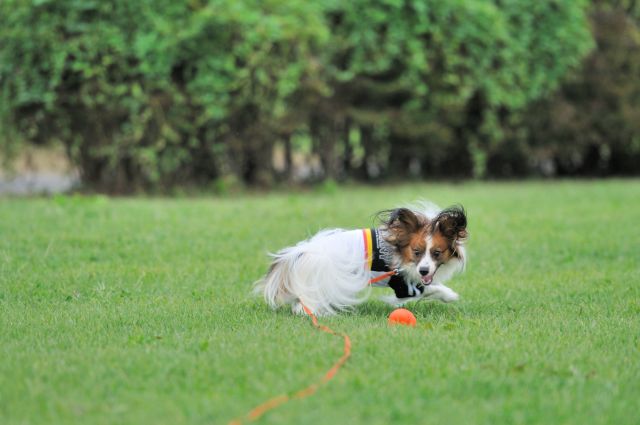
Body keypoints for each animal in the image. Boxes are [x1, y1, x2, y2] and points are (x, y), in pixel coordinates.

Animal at [255, 203, 468, 316]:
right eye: (417, 252)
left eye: (436, 253)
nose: (423, 270)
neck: (398, 250)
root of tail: (303, 251)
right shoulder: (403, 285)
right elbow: (430, 290)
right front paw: (450, 295)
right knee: (304, 306)